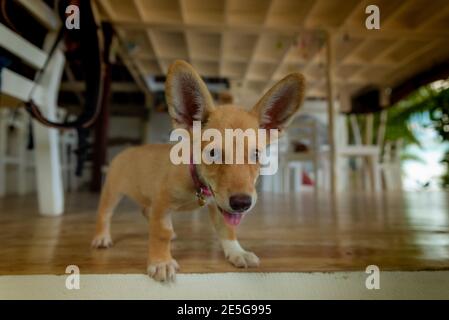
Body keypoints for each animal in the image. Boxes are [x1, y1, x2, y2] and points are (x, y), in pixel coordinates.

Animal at [91, 59, 304, 280]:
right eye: (213, 153)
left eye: (256, 154)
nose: (242, 203)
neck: (197, 184)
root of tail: (127, 150)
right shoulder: (162, 203)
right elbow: (160, 234)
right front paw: (160, 261)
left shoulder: (218, 208)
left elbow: (227, 231)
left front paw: (237, 252)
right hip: (112, 193)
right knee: (104, 215)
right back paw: (101, 237)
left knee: (145, 211)